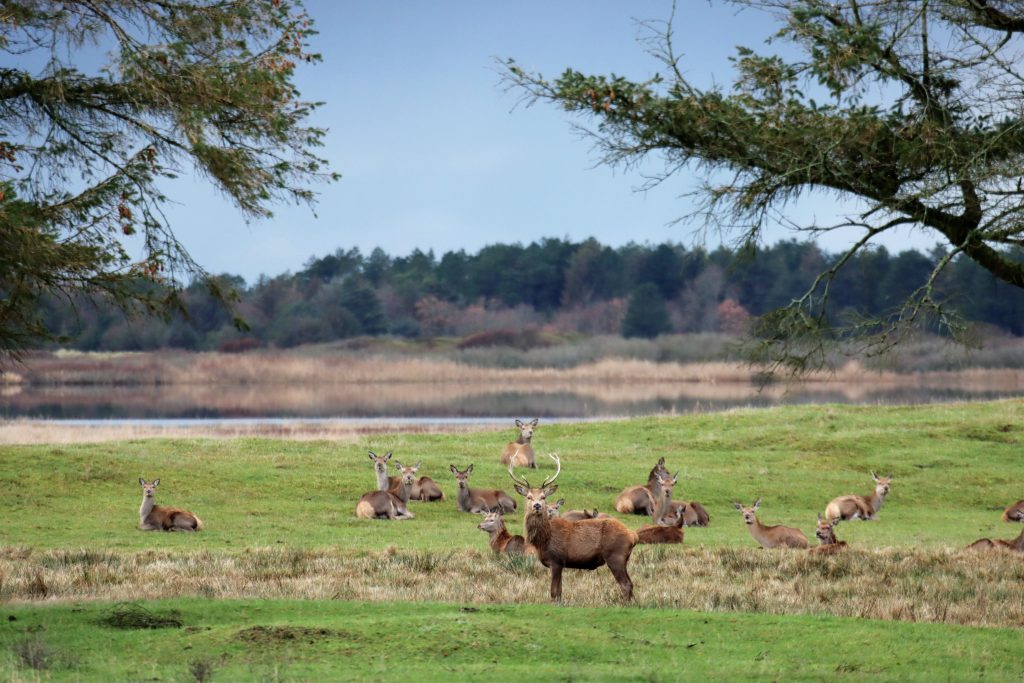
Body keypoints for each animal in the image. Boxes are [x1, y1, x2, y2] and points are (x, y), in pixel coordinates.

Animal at [507, 456, 634, 602]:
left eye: (543, 497)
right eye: (529, 497)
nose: (537, 505)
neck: (543, 540)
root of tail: (633, 536)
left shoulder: (556, 560)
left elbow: (554, 592)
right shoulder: (561, 564)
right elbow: (560, 592)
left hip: (615, 556)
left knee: (625, 584)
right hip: (623, 559)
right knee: (631, 584)